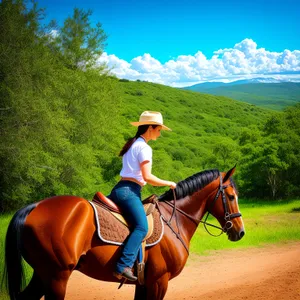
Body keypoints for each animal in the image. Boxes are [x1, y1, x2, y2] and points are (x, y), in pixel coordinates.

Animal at [3, 166, 245, 300]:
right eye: (232, 196)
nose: (240, 231)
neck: (174, 219)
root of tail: (34, 207)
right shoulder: (159, 281)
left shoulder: (144, 283)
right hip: (57, 276)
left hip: (43, 274)